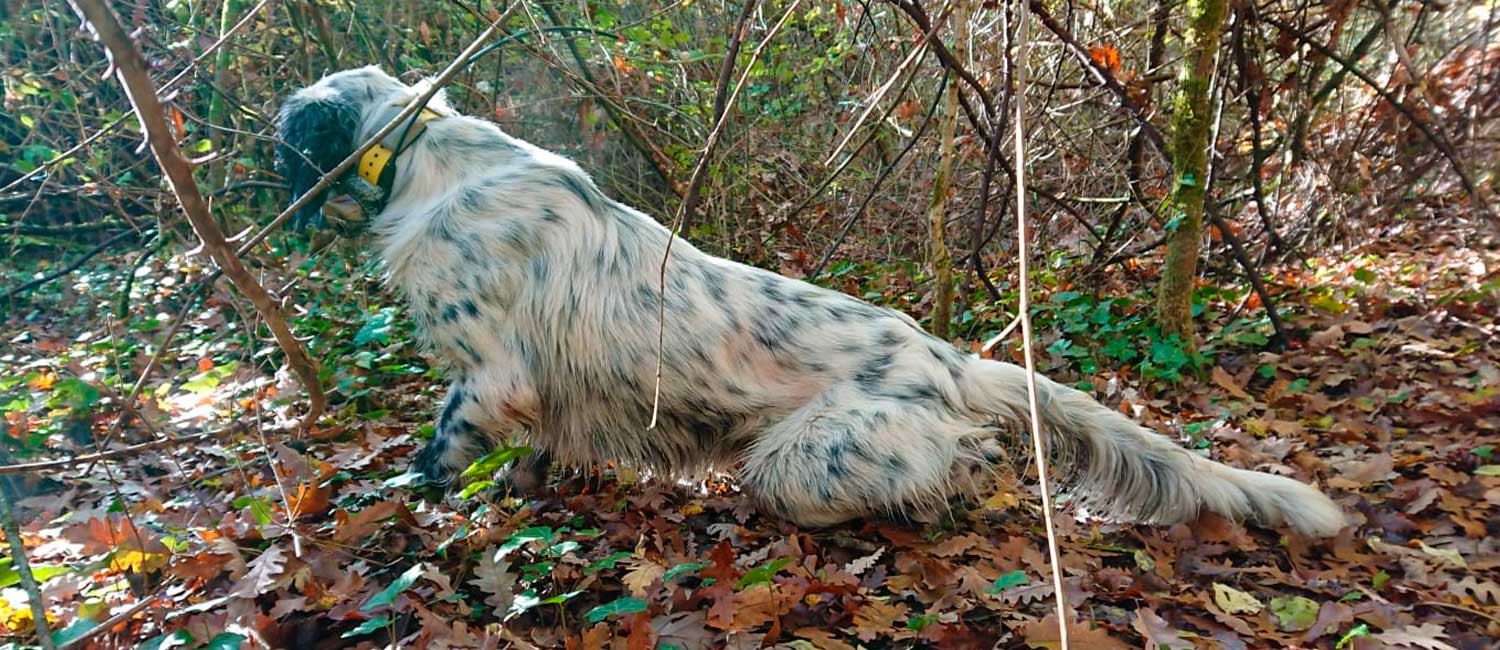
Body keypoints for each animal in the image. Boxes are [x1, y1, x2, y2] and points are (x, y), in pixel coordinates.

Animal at [273, 66, 1350, 534]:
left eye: (281, 141)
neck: (424, 159)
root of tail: (951, 359)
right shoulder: (533, 390)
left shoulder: (488, 371)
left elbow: (441, 444)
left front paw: (401, 502)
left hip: (802, 457)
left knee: (963, 455)